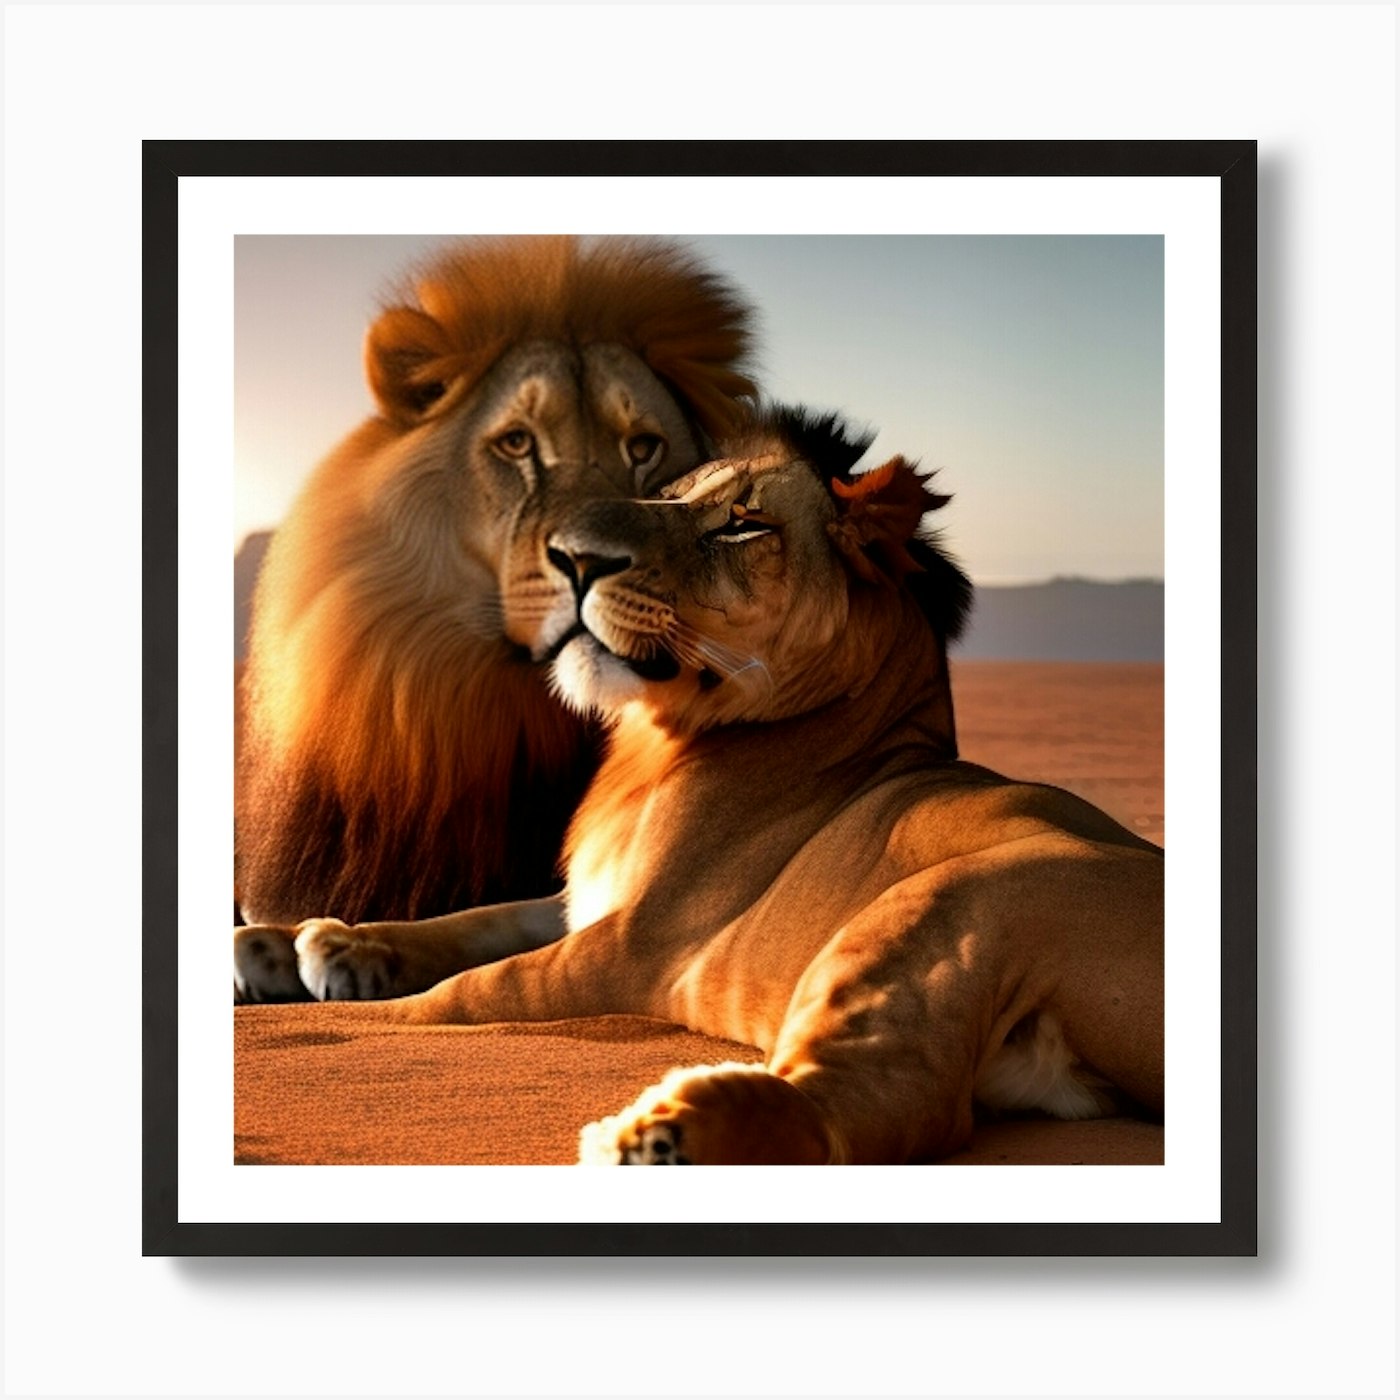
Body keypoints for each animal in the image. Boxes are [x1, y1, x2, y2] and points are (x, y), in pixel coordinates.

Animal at [234, 408, 1164, 1164]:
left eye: (741, 527)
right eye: (671, 499)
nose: (570, 556)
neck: (658, 742)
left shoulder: (630, 947)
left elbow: (454, 996)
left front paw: (317, 990)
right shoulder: (586, 901)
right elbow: (471, 921)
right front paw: (310, 944)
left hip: (955, 900)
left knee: (890, 1107)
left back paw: (658, 1136)